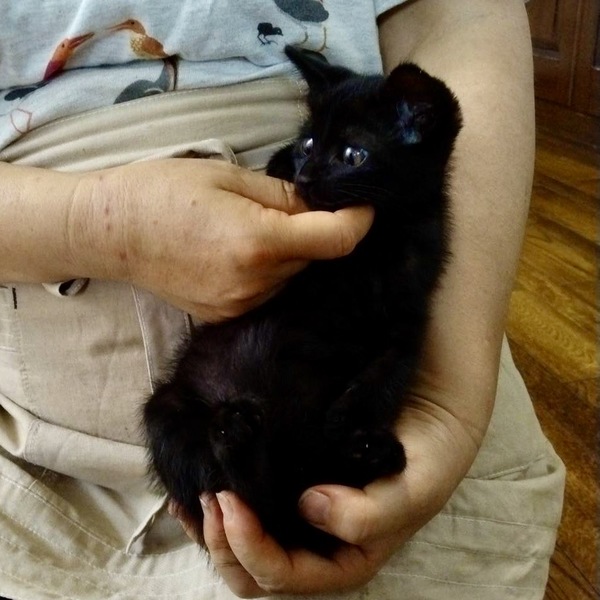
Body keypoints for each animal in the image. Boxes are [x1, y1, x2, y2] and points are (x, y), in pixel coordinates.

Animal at [143, 46, 462, 556]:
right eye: (309, 144)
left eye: (353, 155)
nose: (307, 175)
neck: (372, 244)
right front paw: (279, 161)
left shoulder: (407, 316)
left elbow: (388, 371)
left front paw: (347, 419)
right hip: (167, 409)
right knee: (254, 501)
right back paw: (236, 439)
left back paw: (366, 453)